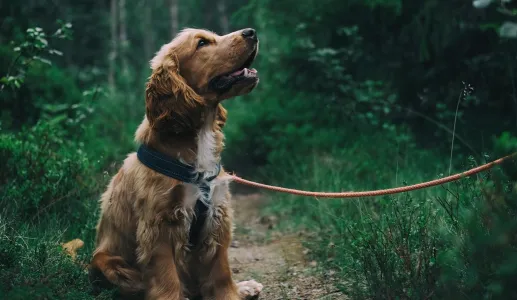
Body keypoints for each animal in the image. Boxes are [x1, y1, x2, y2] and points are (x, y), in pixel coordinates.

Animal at [87, 28, 262, 300]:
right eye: (202, 43)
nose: (251, 32)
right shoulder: (159, 225)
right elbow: (167, 278)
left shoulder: (217, 217)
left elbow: (221, 272)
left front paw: (232, 293)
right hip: (110, 264)